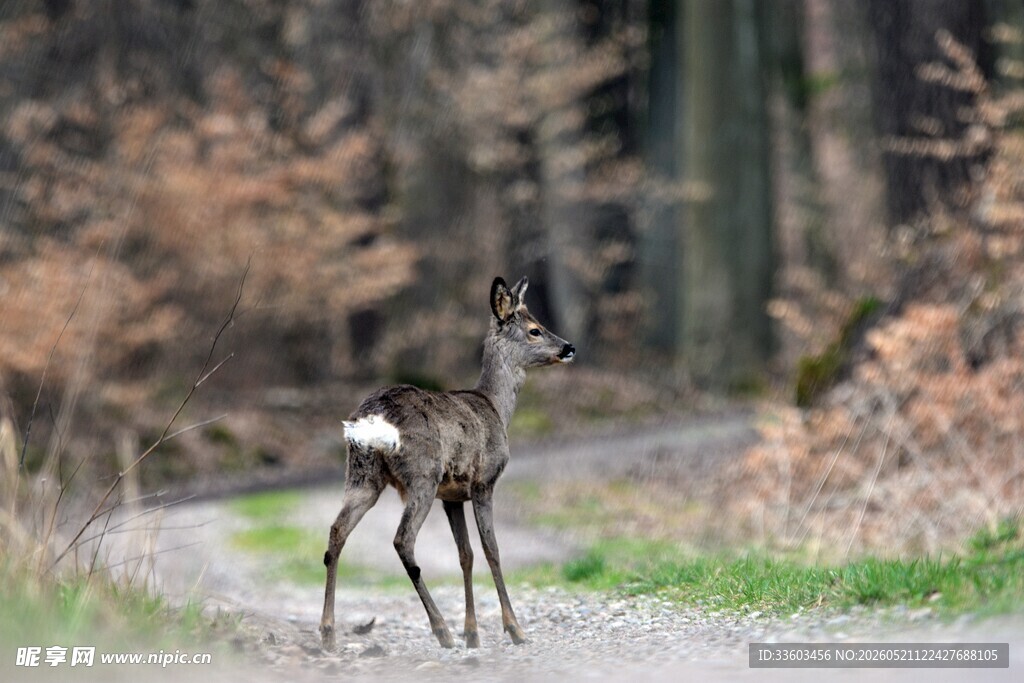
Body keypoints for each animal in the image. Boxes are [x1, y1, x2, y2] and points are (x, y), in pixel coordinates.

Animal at [319, 276, 575, 651]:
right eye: (534, 330)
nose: (569, 347)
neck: (496, 407)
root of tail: (371, 419)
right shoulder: (484, 481)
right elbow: (491, 549)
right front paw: (514, 629)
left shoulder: (452, 497)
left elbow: (465, 555)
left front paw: (473, 633)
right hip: (422, 475)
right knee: (403, 540)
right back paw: (442, 631)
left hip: (362, 475)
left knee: (337, 532)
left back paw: (328, 633)